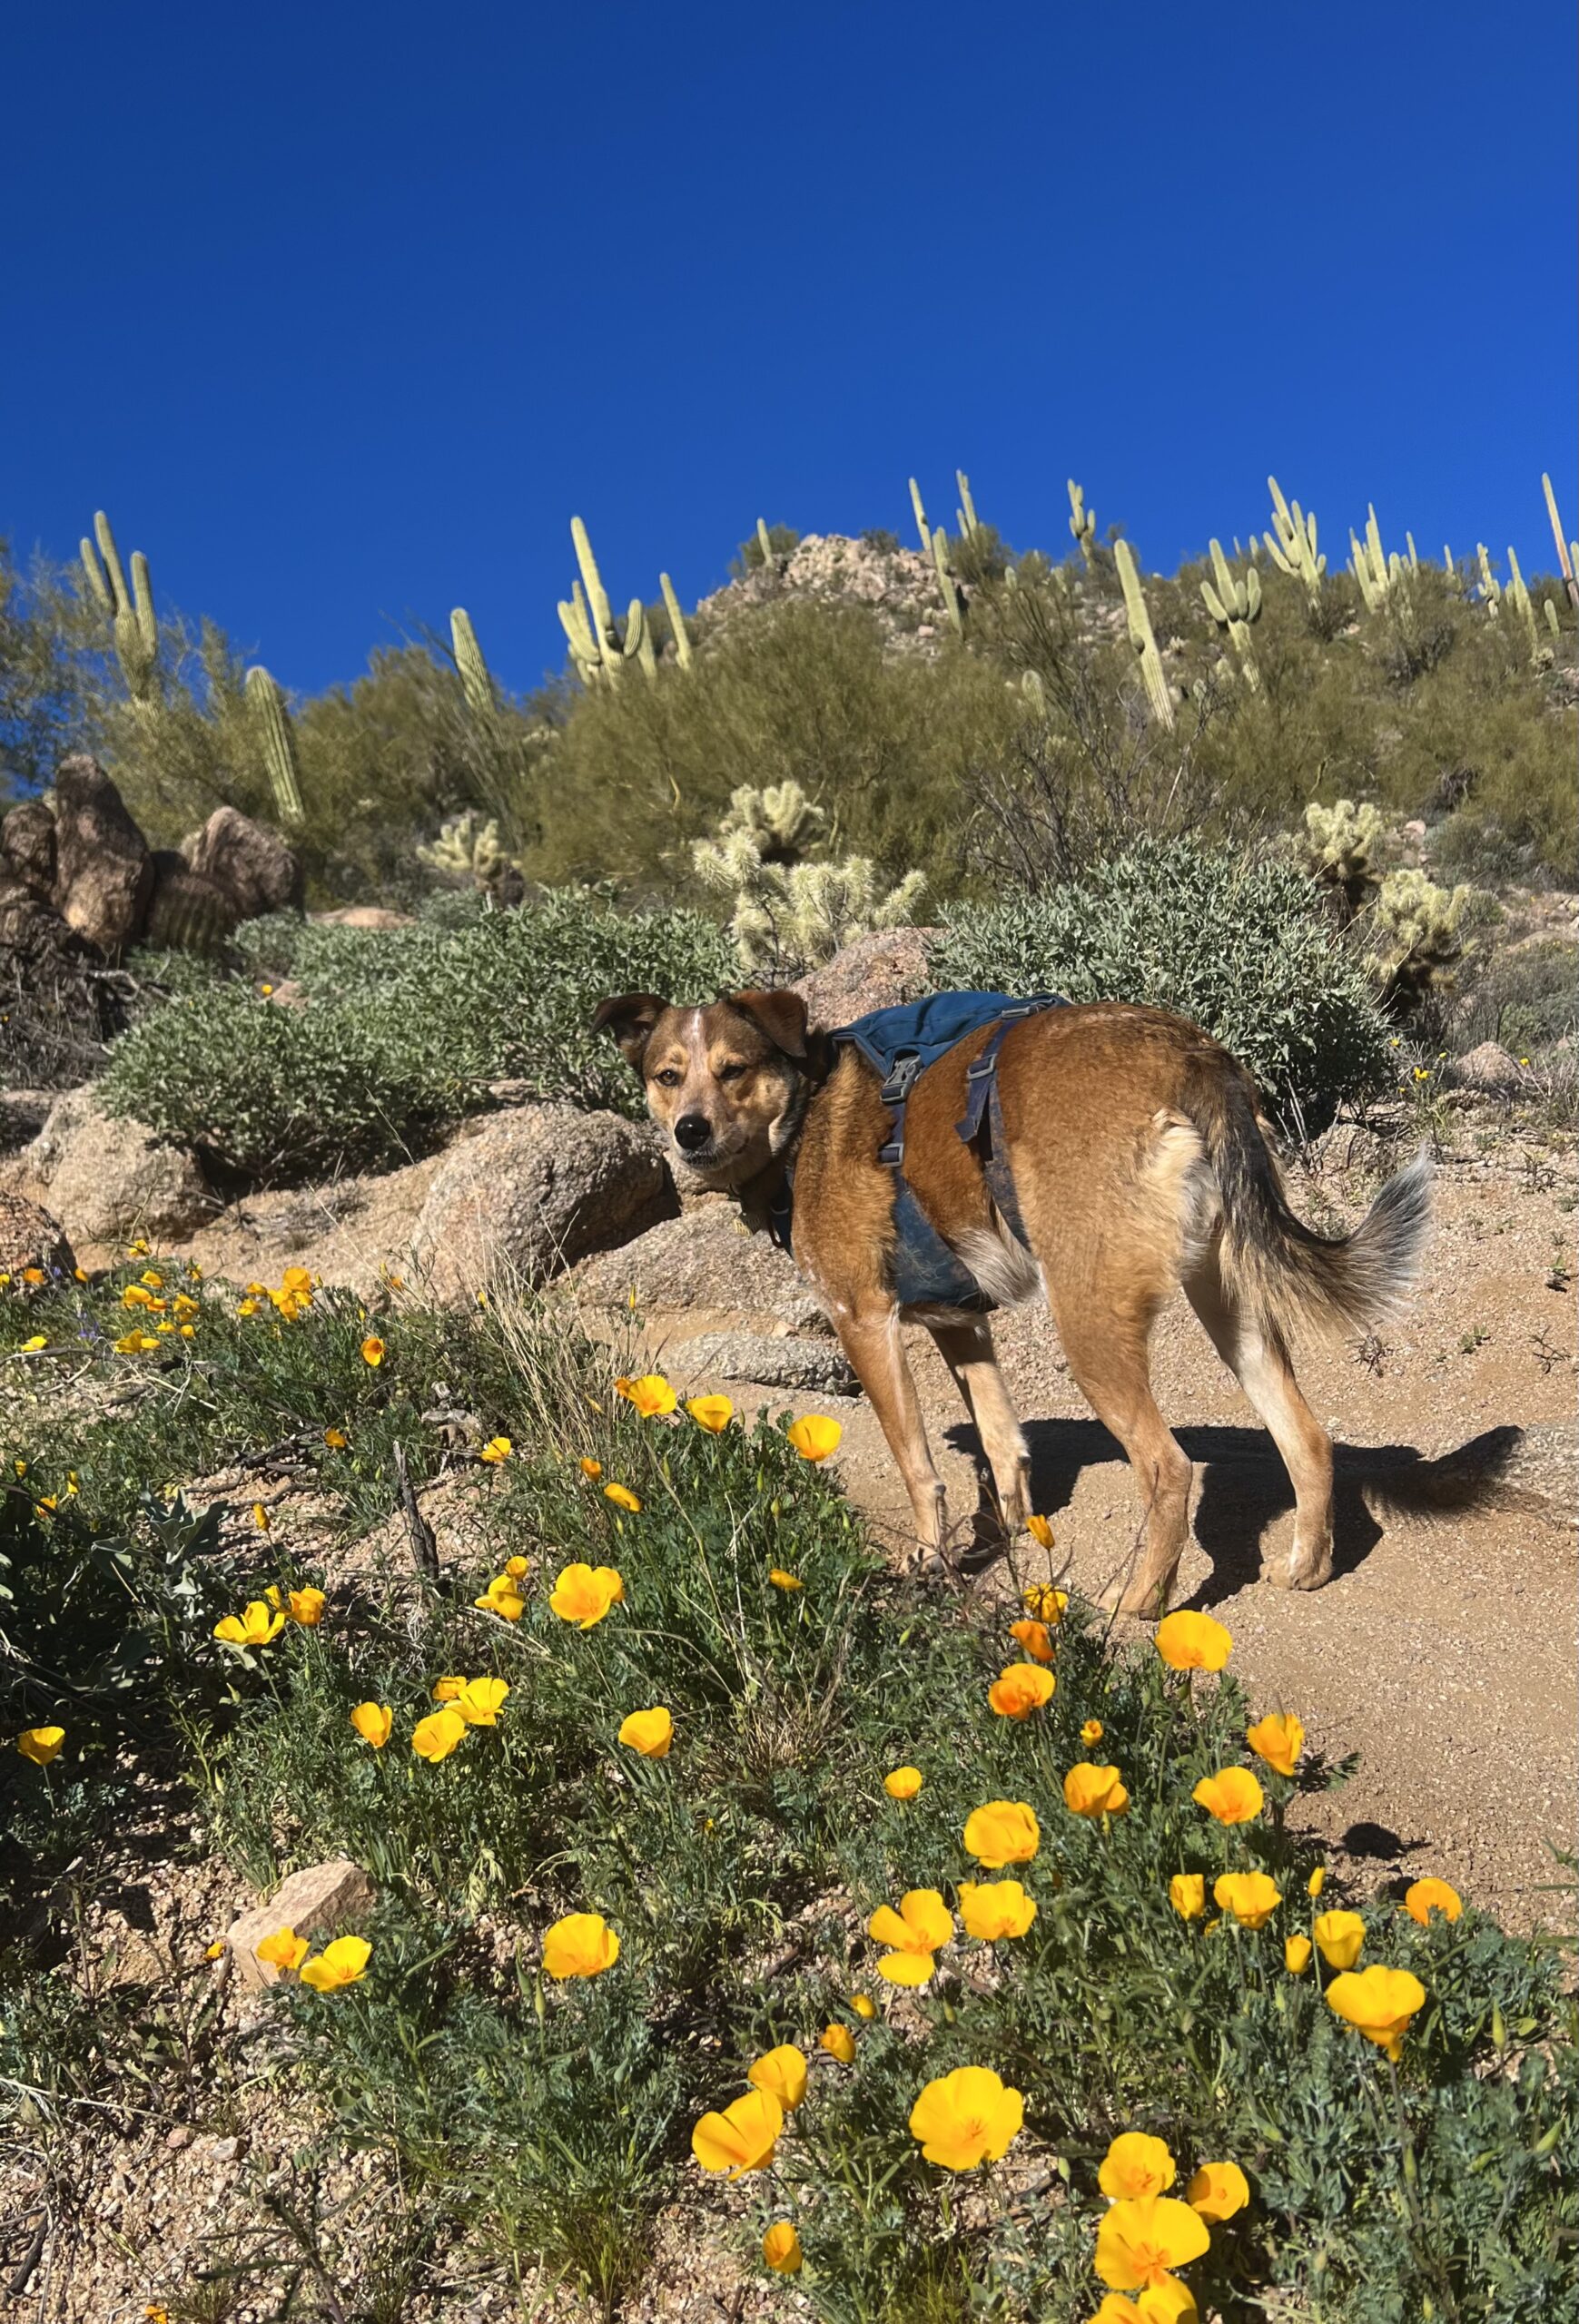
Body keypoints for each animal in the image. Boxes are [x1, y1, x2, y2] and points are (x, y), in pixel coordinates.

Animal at [595, 985, 1432, 1617]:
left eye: (733, 1070)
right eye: (667, 1075)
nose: (689, 1131)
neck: (801, 1118)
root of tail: (1187, 1053)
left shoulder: (862, 1321)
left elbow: (917, 1465)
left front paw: (927, 1560)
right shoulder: (961, 1323)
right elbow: (1001, 1443)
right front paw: (1009, 1539)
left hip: (1088, 1321)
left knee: (1168, 1468)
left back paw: (1140, 1604)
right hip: (1229, 1301)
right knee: (1306, 1436)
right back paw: (1308, 1565)